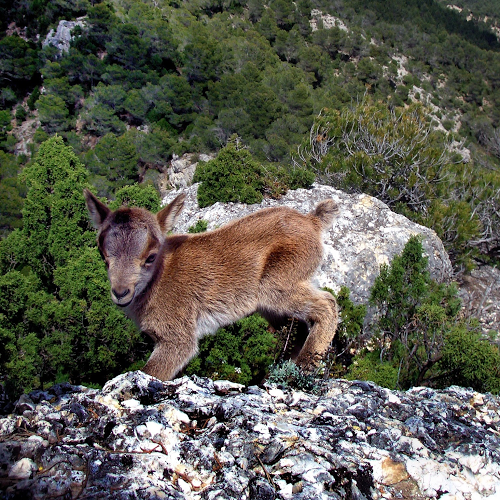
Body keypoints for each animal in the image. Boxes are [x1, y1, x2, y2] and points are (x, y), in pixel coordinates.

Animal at [84, 189, 339, 381]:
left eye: (150, 257)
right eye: (103, 255)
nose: (121, 293)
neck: (158, 280)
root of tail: (312, 221)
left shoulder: (176, 335)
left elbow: (153, 371)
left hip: (277, 283)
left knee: (328, 303)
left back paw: (305, 366)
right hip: (269, 305)